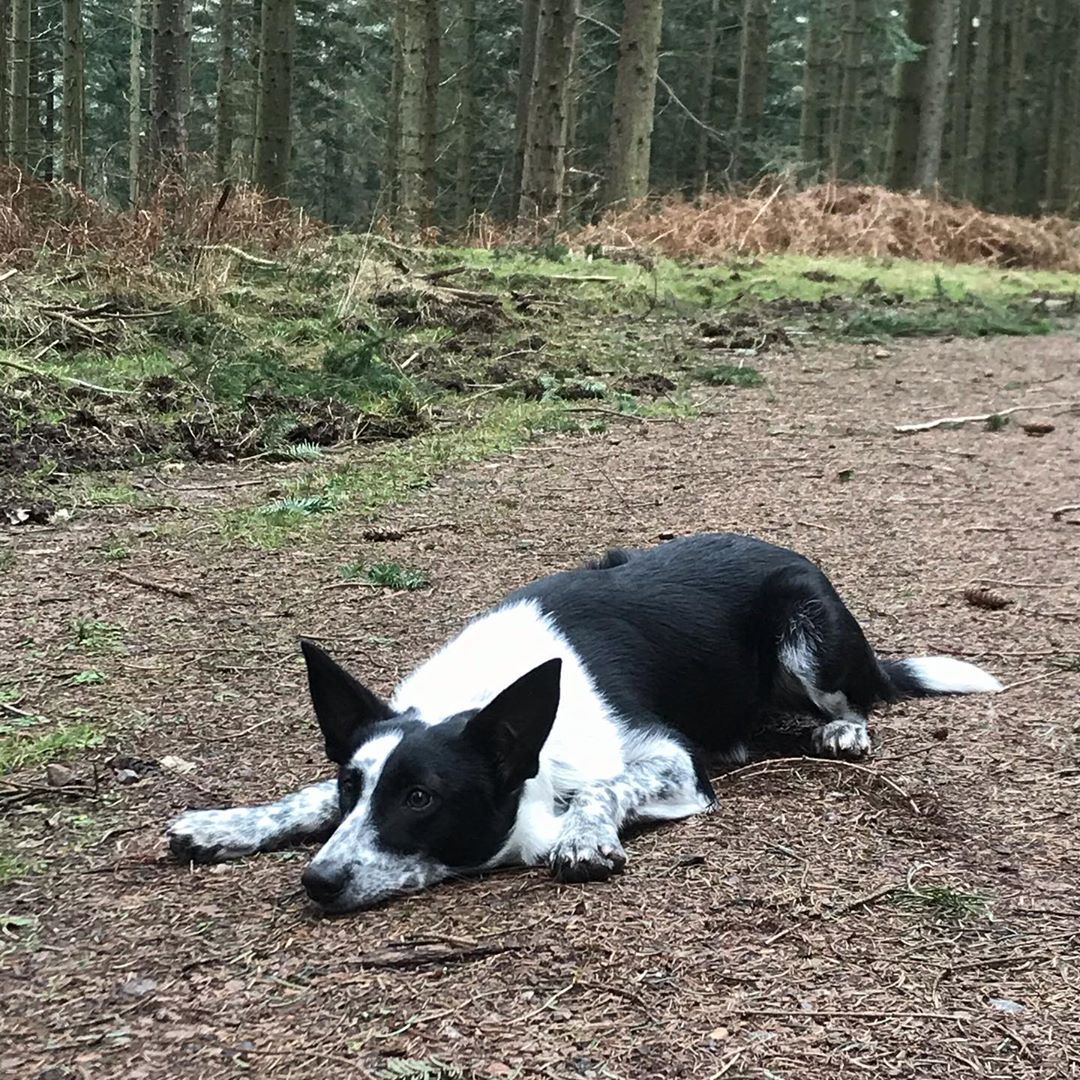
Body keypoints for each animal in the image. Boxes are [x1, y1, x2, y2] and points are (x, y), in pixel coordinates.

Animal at [168, 531, 1002, 911]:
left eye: (421, 799)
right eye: (354, 786)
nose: (317, 882)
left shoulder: (673, 762)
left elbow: (604, 787)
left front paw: (583, 836)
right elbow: (302, 797)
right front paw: (228, 824)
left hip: (805, 628)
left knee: (857, 699)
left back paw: (845, 729)